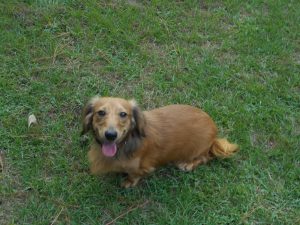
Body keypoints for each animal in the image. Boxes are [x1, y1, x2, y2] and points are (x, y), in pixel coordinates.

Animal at [81, 96, 238, 188]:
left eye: (123, 114)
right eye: (101, 112)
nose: (110, 135)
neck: (125, 143)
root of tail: (214, 133)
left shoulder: (142, 168)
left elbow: (134, 175)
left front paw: (128, 182)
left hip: (197, 150)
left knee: (205, 157)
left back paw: (187, 164)